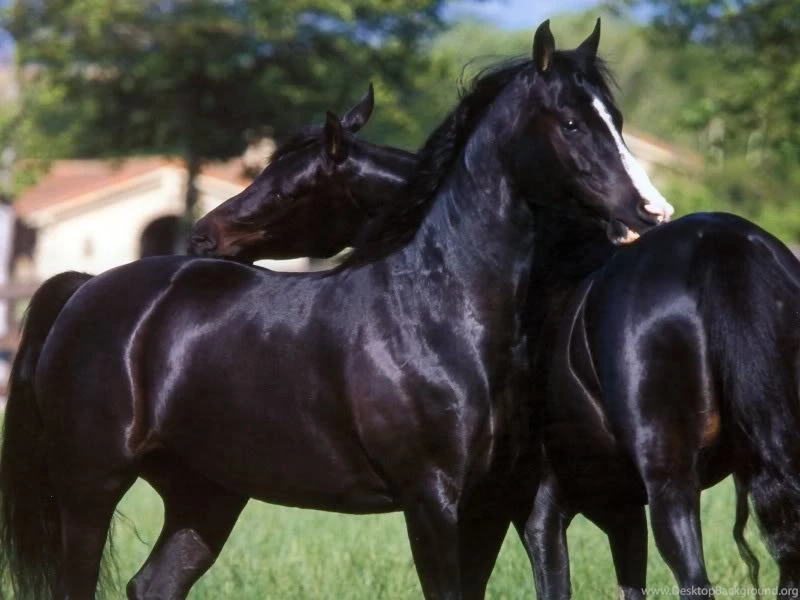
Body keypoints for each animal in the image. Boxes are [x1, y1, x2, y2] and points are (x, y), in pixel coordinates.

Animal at [0, 20, 670, 600]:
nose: (649, 211)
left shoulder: (498, 504)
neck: (442, 313)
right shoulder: (434, 503)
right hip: (90, 492)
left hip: (206, 495)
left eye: (614, 120)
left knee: (154, 585)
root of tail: (86, 289)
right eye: (572, 123)